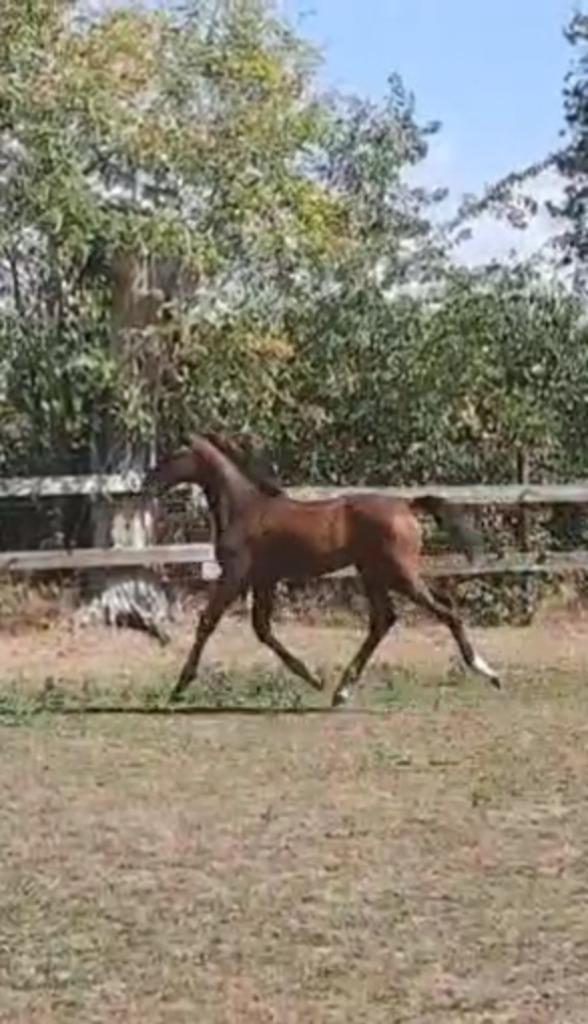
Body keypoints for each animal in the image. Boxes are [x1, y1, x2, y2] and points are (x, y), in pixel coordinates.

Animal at [145, 432, 500, 706]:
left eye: (172, 454)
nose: (146, 484)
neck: (245, 508)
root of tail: (406, 505)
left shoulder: (236, 575)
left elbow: (208, 622)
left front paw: (179, 687)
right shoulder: (263, 579)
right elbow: (262, 629)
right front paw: (314, 678)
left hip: (397, 573)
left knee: (444, 611)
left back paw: (488, 672)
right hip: (377, 573)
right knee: (387, 619)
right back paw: (341, 691)